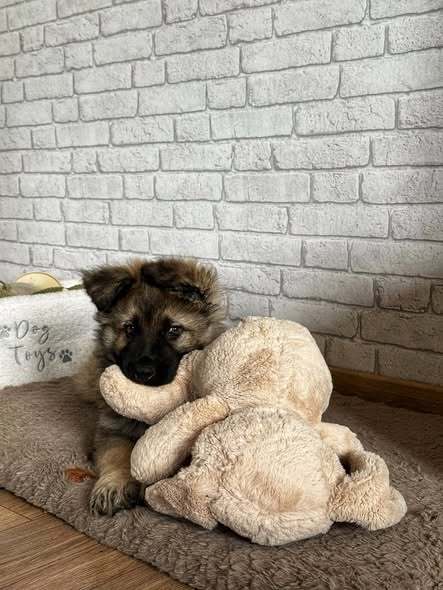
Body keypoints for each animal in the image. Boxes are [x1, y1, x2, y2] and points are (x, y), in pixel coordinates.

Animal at [76, 257, 226, 516]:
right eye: (130, 328)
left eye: (173, 330)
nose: (143, 373)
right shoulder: (113, 428)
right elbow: (116, 454)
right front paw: (113, 485)